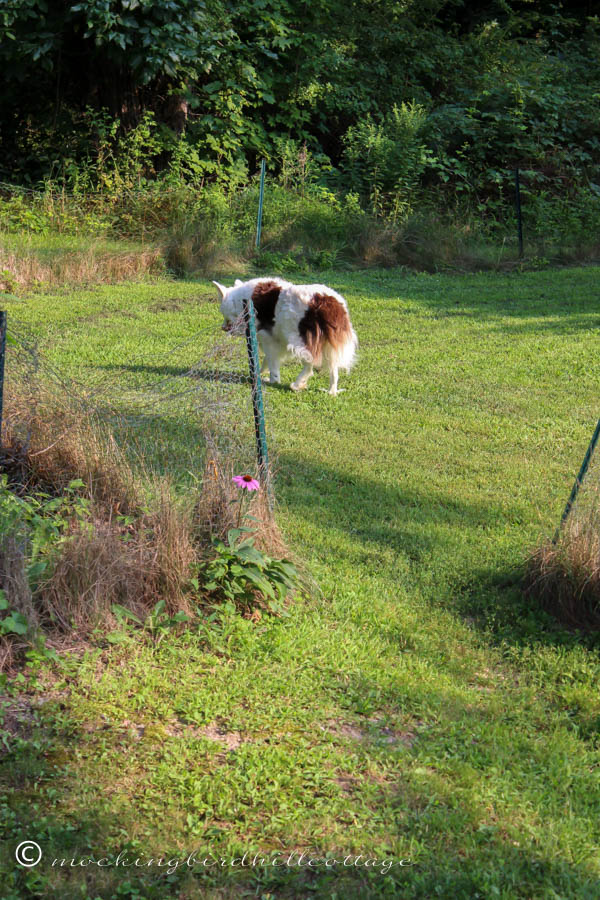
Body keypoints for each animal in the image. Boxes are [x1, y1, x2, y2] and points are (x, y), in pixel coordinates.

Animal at [214, 276, 358, 396]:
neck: (241, 302)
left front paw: (272, 380)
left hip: (298, 340)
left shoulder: (267, 337)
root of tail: (329, 302)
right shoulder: (276, 339)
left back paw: (297, 384)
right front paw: (259, 374)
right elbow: (268, 360)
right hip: (329, 344)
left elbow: (272, 362)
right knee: (333, 370)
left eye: (224, 314)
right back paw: (331, 392)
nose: (223, 328)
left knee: (310, 365)